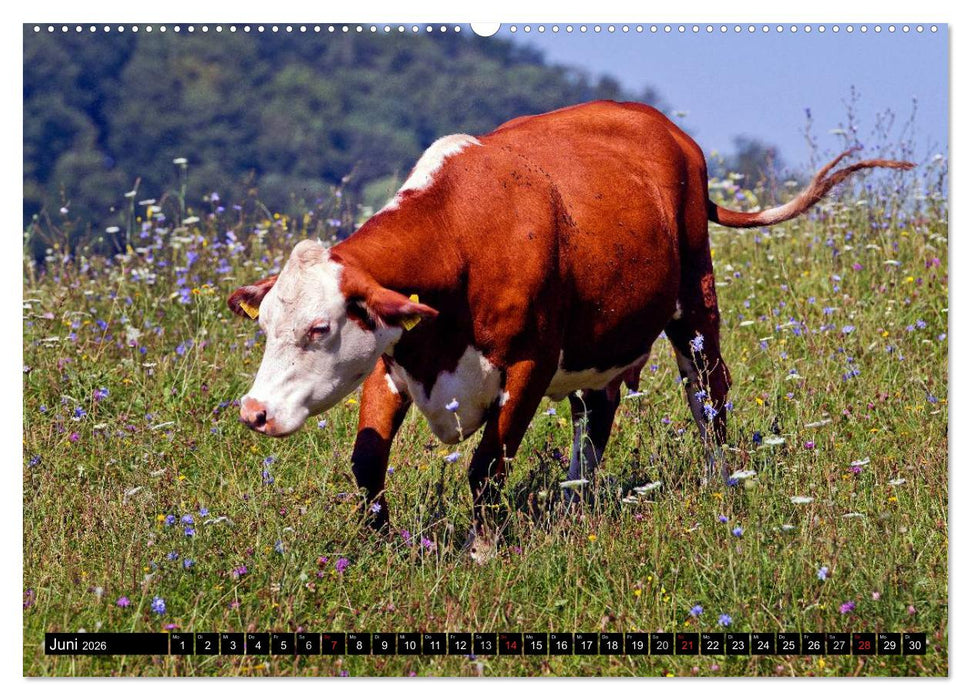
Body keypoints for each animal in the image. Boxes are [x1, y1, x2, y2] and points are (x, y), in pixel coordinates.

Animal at [228, 101, 912, 556]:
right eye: (267, 324)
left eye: (320, 328)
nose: (254, 412)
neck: (462, 235)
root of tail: (661, 125)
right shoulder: (394, 354)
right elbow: (368, 461)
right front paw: (379, 549)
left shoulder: (529, 362)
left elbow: (486, 468)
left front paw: (483, 552)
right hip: (601, 338)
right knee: (597, 411)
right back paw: (575, 505)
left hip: (696, 300)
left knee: (709, 396)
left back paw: (722, 487)